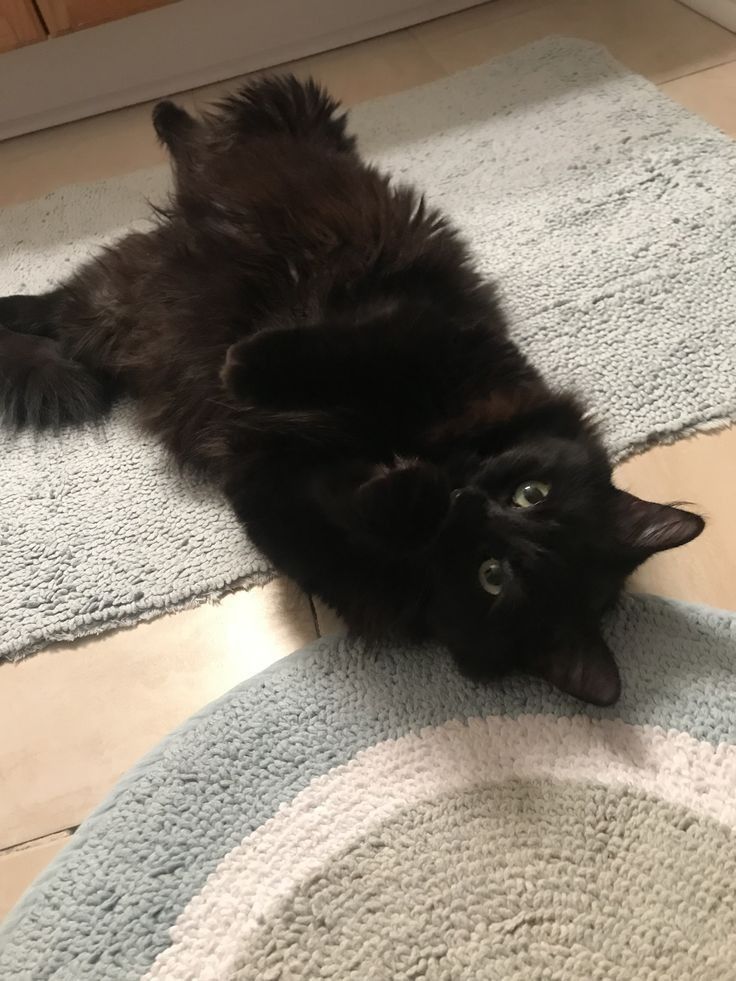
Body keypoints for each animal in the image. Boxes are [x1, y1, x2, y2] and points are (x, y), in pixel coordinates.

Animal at [0, 76, 700, 704]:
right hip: (210, 205)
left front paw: (404, 492)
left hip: (116, 303)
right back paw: (165, 117)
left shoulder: (279, 499)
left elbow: (359, 511)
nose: (468, 500)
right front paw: (245, 364)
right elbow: (339, 355)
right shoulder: (429, 339)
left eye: (493, 576)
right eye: (533, 493)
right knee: (213, 134)